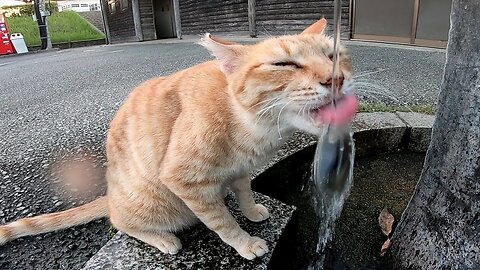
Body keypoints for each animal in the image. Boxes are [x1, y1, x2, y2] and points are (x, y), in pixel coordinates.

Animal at [0, 19, 352, 260]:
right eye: (284, 64)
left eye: (333, 55)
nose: (335, 79)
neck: (252, 126)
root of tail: (111, 195)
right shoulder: (185, 181)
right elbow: (222, 222)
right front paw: (245, 242)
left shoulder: (240, 170)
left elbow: (244, 192)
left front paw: (251, 211)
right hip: (156, 205)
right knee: (122, 222)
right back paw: (163, 239)